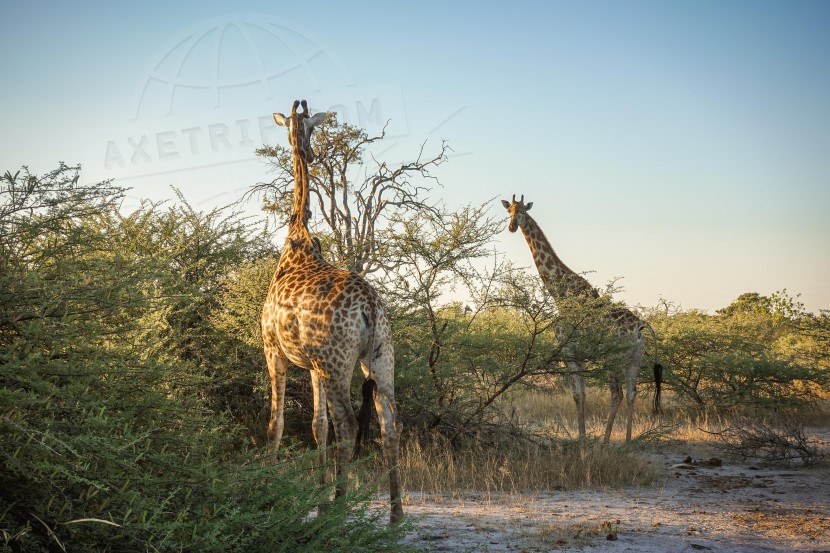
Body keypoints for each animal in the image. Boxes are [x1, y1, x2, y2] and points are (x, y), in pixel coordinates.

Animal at [260, 100, 404, 520]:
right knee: (390, 425)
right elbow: (316, 425)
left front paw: (266, 486)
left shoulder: (274, 351)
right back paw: (395, 517)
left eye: (308, 127)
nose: (307, 151)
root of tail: (370, 307)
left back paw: (342, 507)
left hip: (338, 362)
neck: (296, 238)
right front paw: (319, 495)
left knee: (349, 425)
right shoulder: (312, 365)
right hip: (379, 358)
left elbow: (277, 423)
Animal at [500, 195, 664, 444]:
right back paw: (627, 442)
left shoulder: (568, 349)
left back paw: (605, 442)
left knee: (617, 394)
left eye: (522, 212)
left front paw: (582, 439)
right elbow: (582, 394)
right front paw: (583, 436)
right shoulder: (579, 354)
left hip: (612, 358)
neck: (560, 293)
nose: (511, 226)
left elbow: (577, 394)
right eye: (508, 211)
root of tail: (641, 327)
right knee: (631, 393)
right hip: (635, 359)